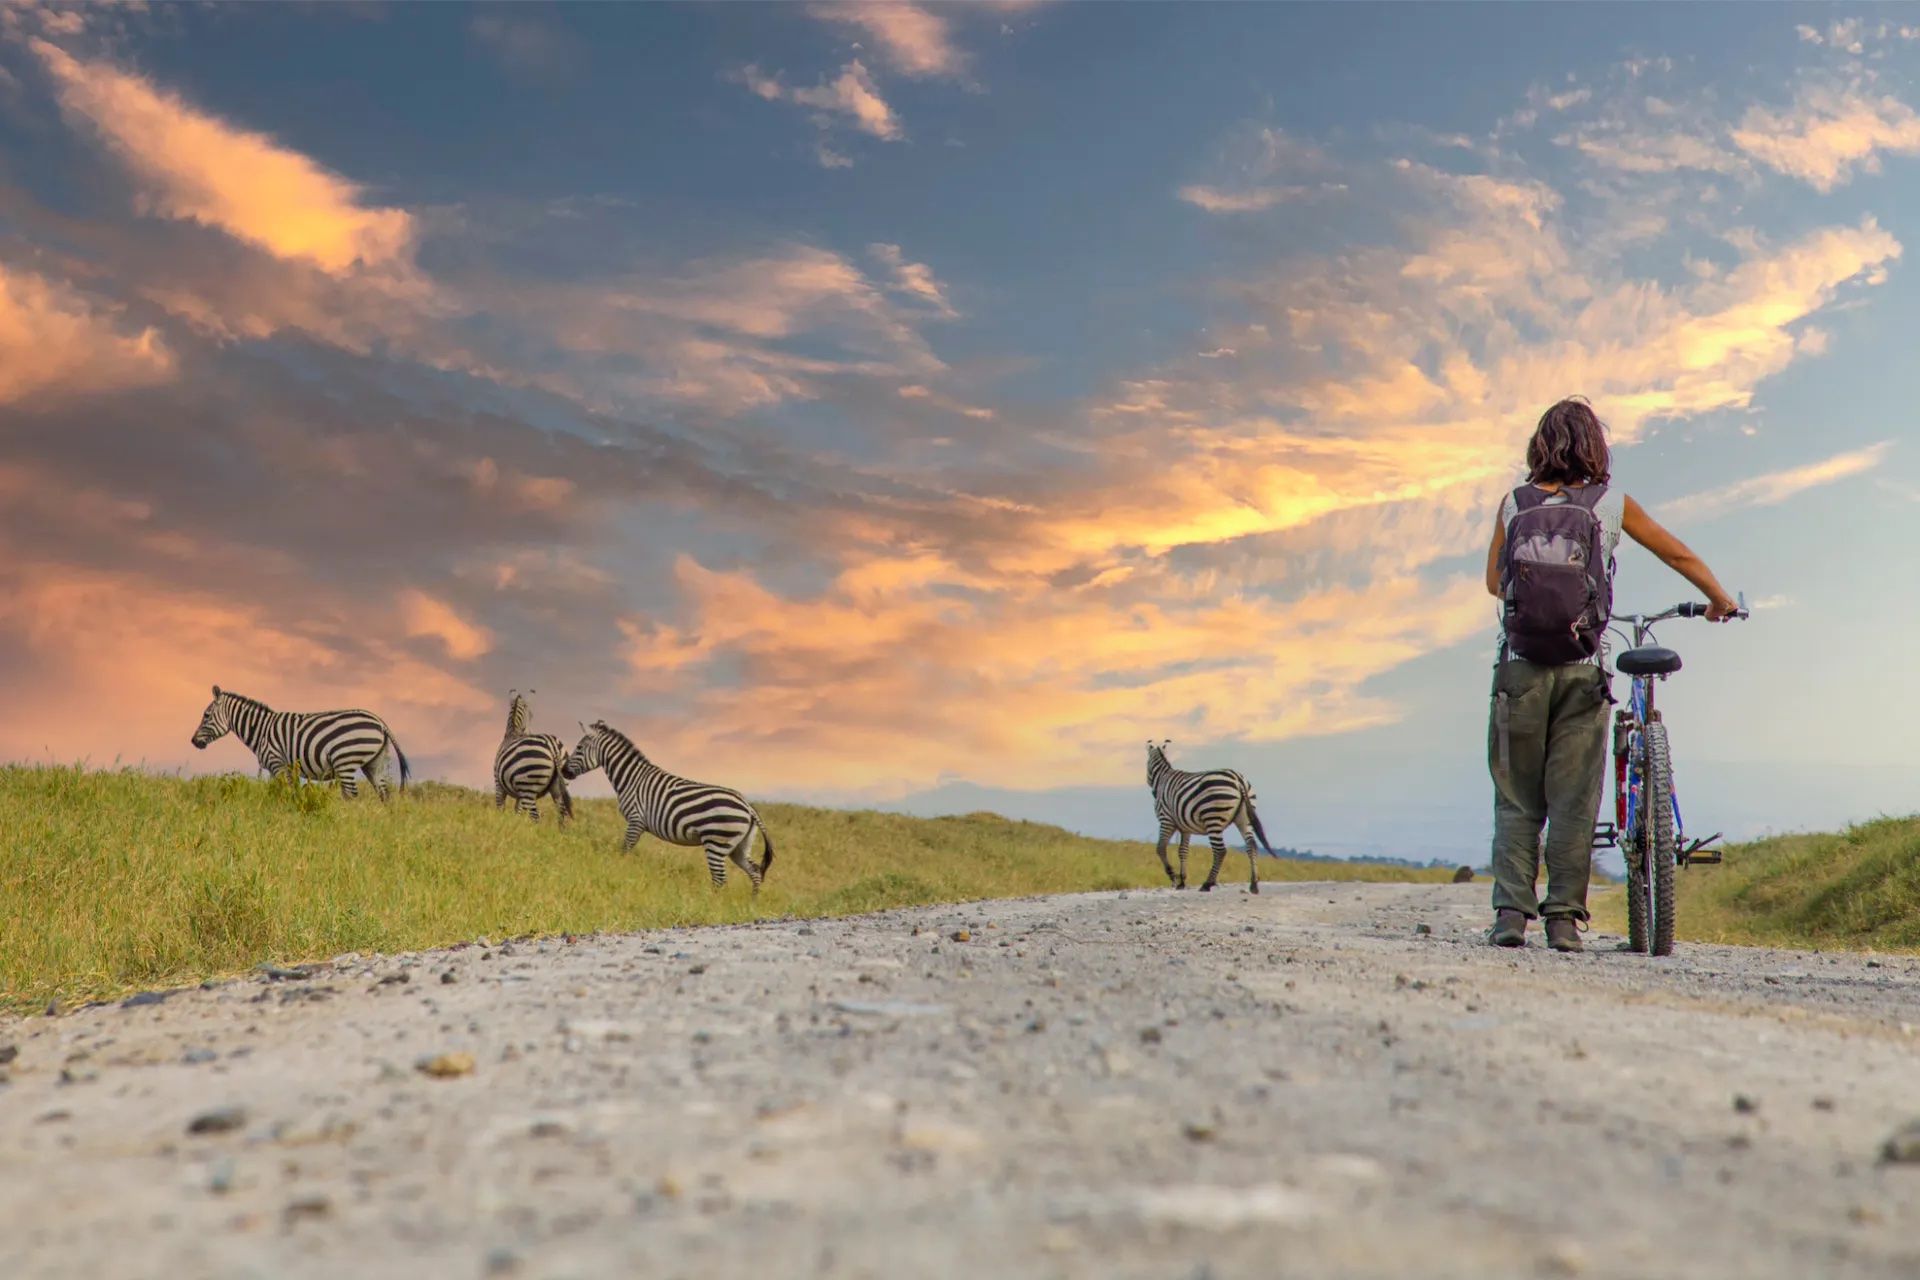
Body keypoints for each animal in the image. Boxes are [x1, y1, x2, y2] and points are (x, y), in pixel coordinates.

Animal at [190, 687, 408, 794]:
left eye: (206, 715)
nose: (193, 741)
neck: (261, 730)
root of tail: (379, 722)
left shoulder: (277, 763)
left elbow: (287, 793)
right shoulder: (278, 768)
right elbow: (279, 793)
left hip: (345, 761)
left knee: (351, 794)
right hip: (375, 763)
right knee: (384, 793)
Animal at [491, 690, 572, 832]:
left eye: (531, 715)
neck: (514, 732)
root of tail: (552, 746)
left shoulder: (498, 784)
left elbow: (501, 807)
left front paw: (503, 825)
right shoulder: (519, 794)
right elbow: (517, 811)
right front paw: (514, 825)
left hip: (529, 787)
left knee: (536, 817)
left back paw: (535, 835)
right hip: (558, 787)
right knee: (562, 814)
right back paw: (561, 834)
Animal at [560, 721, 771, 890]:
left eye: (579, 748)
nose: (563, 771)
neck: (631, 778)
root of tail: (748, 806)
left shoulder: (636, 821)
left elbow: (624, 850)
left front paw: (618, 870)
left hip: (716, 842)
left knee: (720, 880)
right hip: (738, 847)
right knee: (754, 872)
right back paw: (752, 904)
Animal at [1136, 736, 1274, 898]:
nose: (1153, 793)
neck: (1163, 778)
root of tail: (1238, 779)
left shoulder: (1166, 820)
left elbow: (1160, 848)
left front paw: (1173, 877)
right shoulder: (1185, 827)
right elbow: (1183, 851)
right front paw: (1182, 881)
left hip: (1213, 818)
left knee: (1220, 851)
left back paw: (1207, 884)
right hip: (1244, 818)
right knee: (1251, 845)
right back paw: (1253, 884)